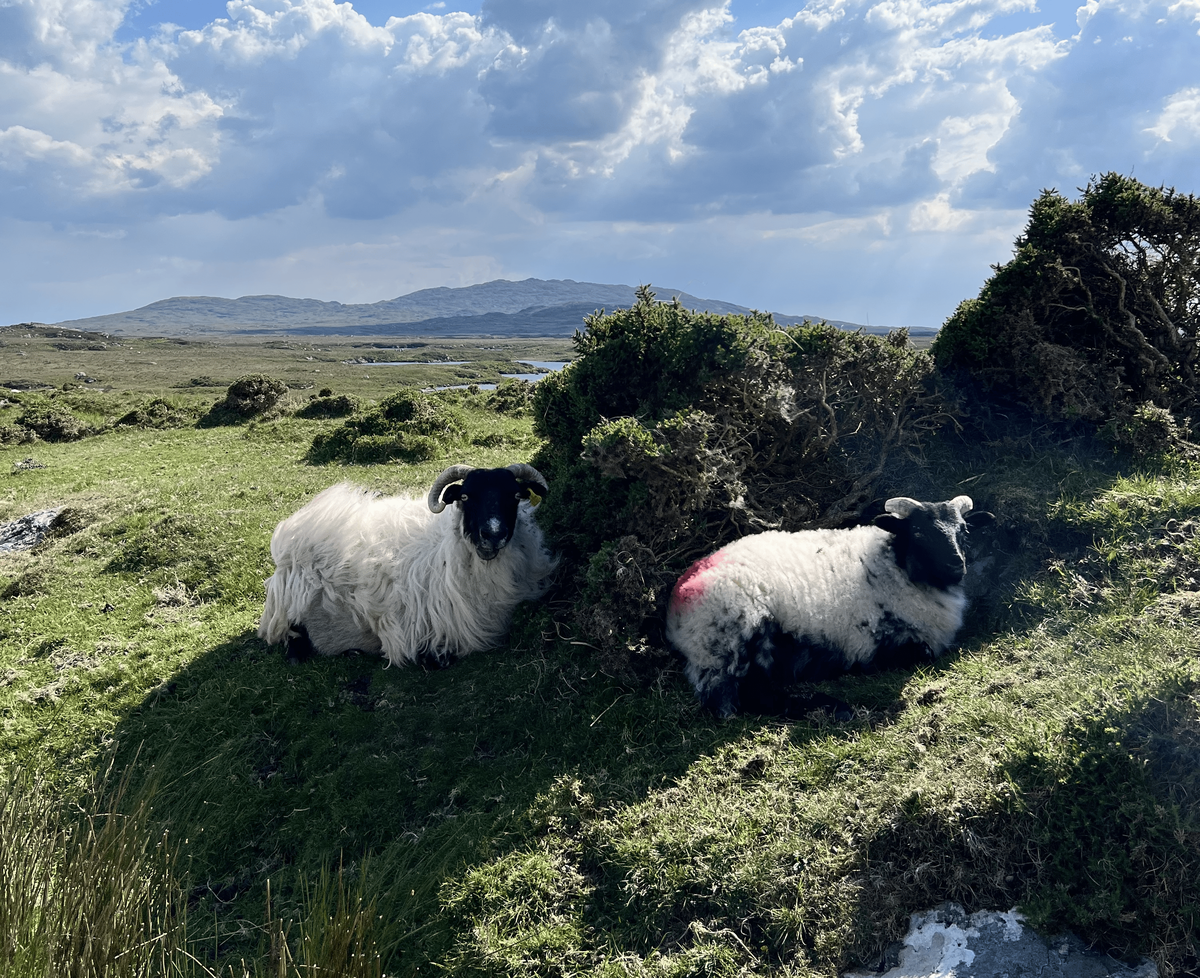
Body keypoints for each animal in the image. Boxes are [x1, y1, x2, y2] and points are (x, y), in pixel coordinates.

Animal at [665, 495, 994, 717]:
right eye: (918, 533)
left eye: (963, 530)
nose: (956, 566)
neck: (896, 565)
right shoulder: (887, 641)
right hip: (737, 634)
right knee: (744, 698)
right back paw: (829, 707)